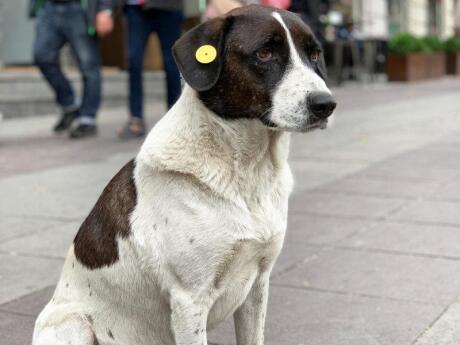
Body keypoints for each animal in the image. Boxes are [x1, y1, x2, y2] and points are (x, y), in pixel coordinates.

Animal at [31, 5, 334, 344]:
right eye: (265, 53)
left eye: (314, 54)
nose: (326, 104)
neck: (247, 169)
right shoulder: (190, 299)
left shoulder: (258, 283)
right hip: (74, 323)